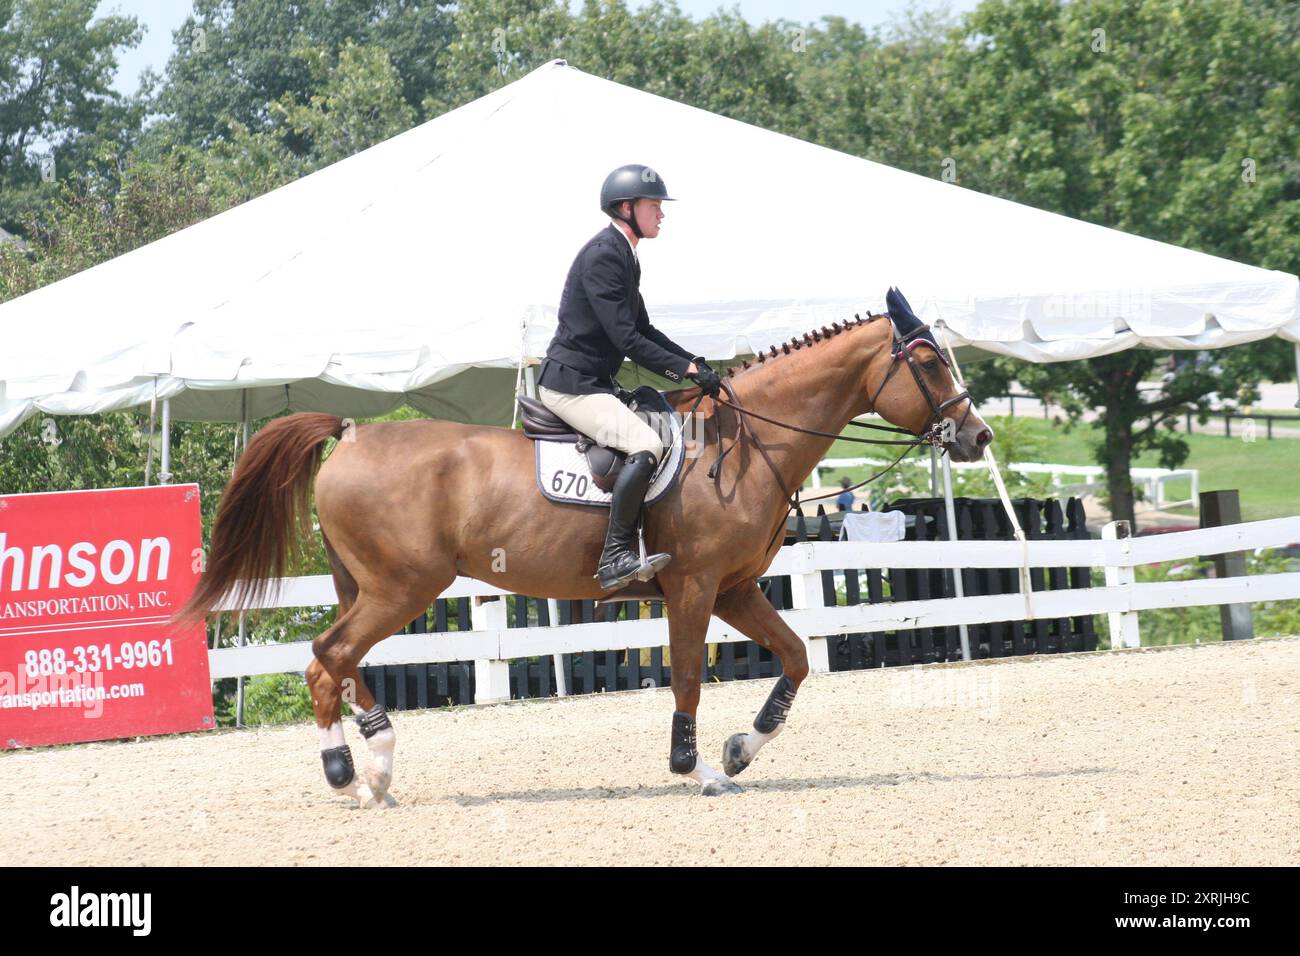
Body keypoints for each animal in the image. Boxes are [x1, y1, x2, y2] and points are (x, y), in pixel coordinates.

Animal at [178, 310, 993, 806]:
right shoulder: (695, 589)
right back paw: (348, 778)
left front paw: (739, 750)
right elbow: (688, 677)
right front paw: (696, 769)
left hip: (368, 586)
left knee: (343, 661)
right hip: (402, 587)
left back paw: (378, 768)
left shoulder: (736, 589)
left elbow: (794, 657)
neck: (743, 443)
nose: (978, 436)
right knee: (326, 659)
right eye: (928, 362)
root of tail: (351, 433)